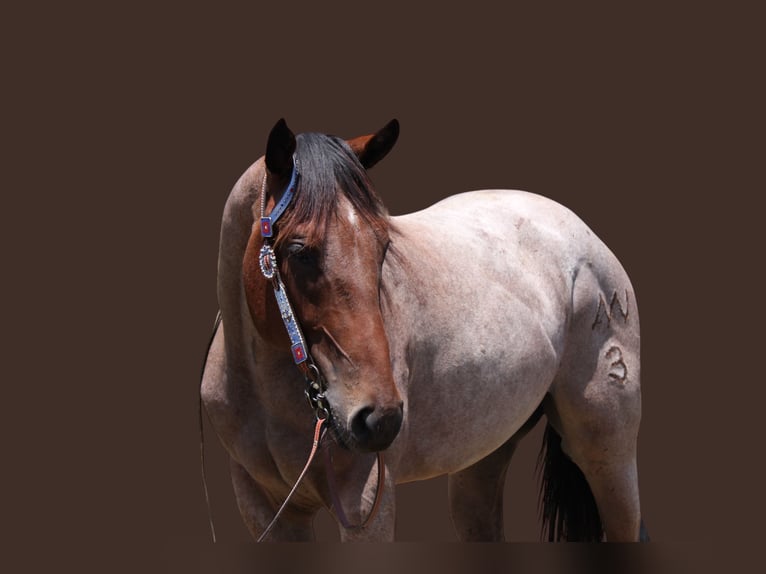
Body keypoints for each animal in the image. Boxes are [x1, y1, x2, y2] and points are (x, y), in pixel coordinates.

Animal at [200, 118, 649, 542]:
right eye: (297, 251)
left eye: (383, 245)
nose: (378, 418)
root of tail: (578, 228)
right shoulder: (266, 510)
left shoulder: (366, 507)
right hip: (482, 457)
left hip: (607, 453)